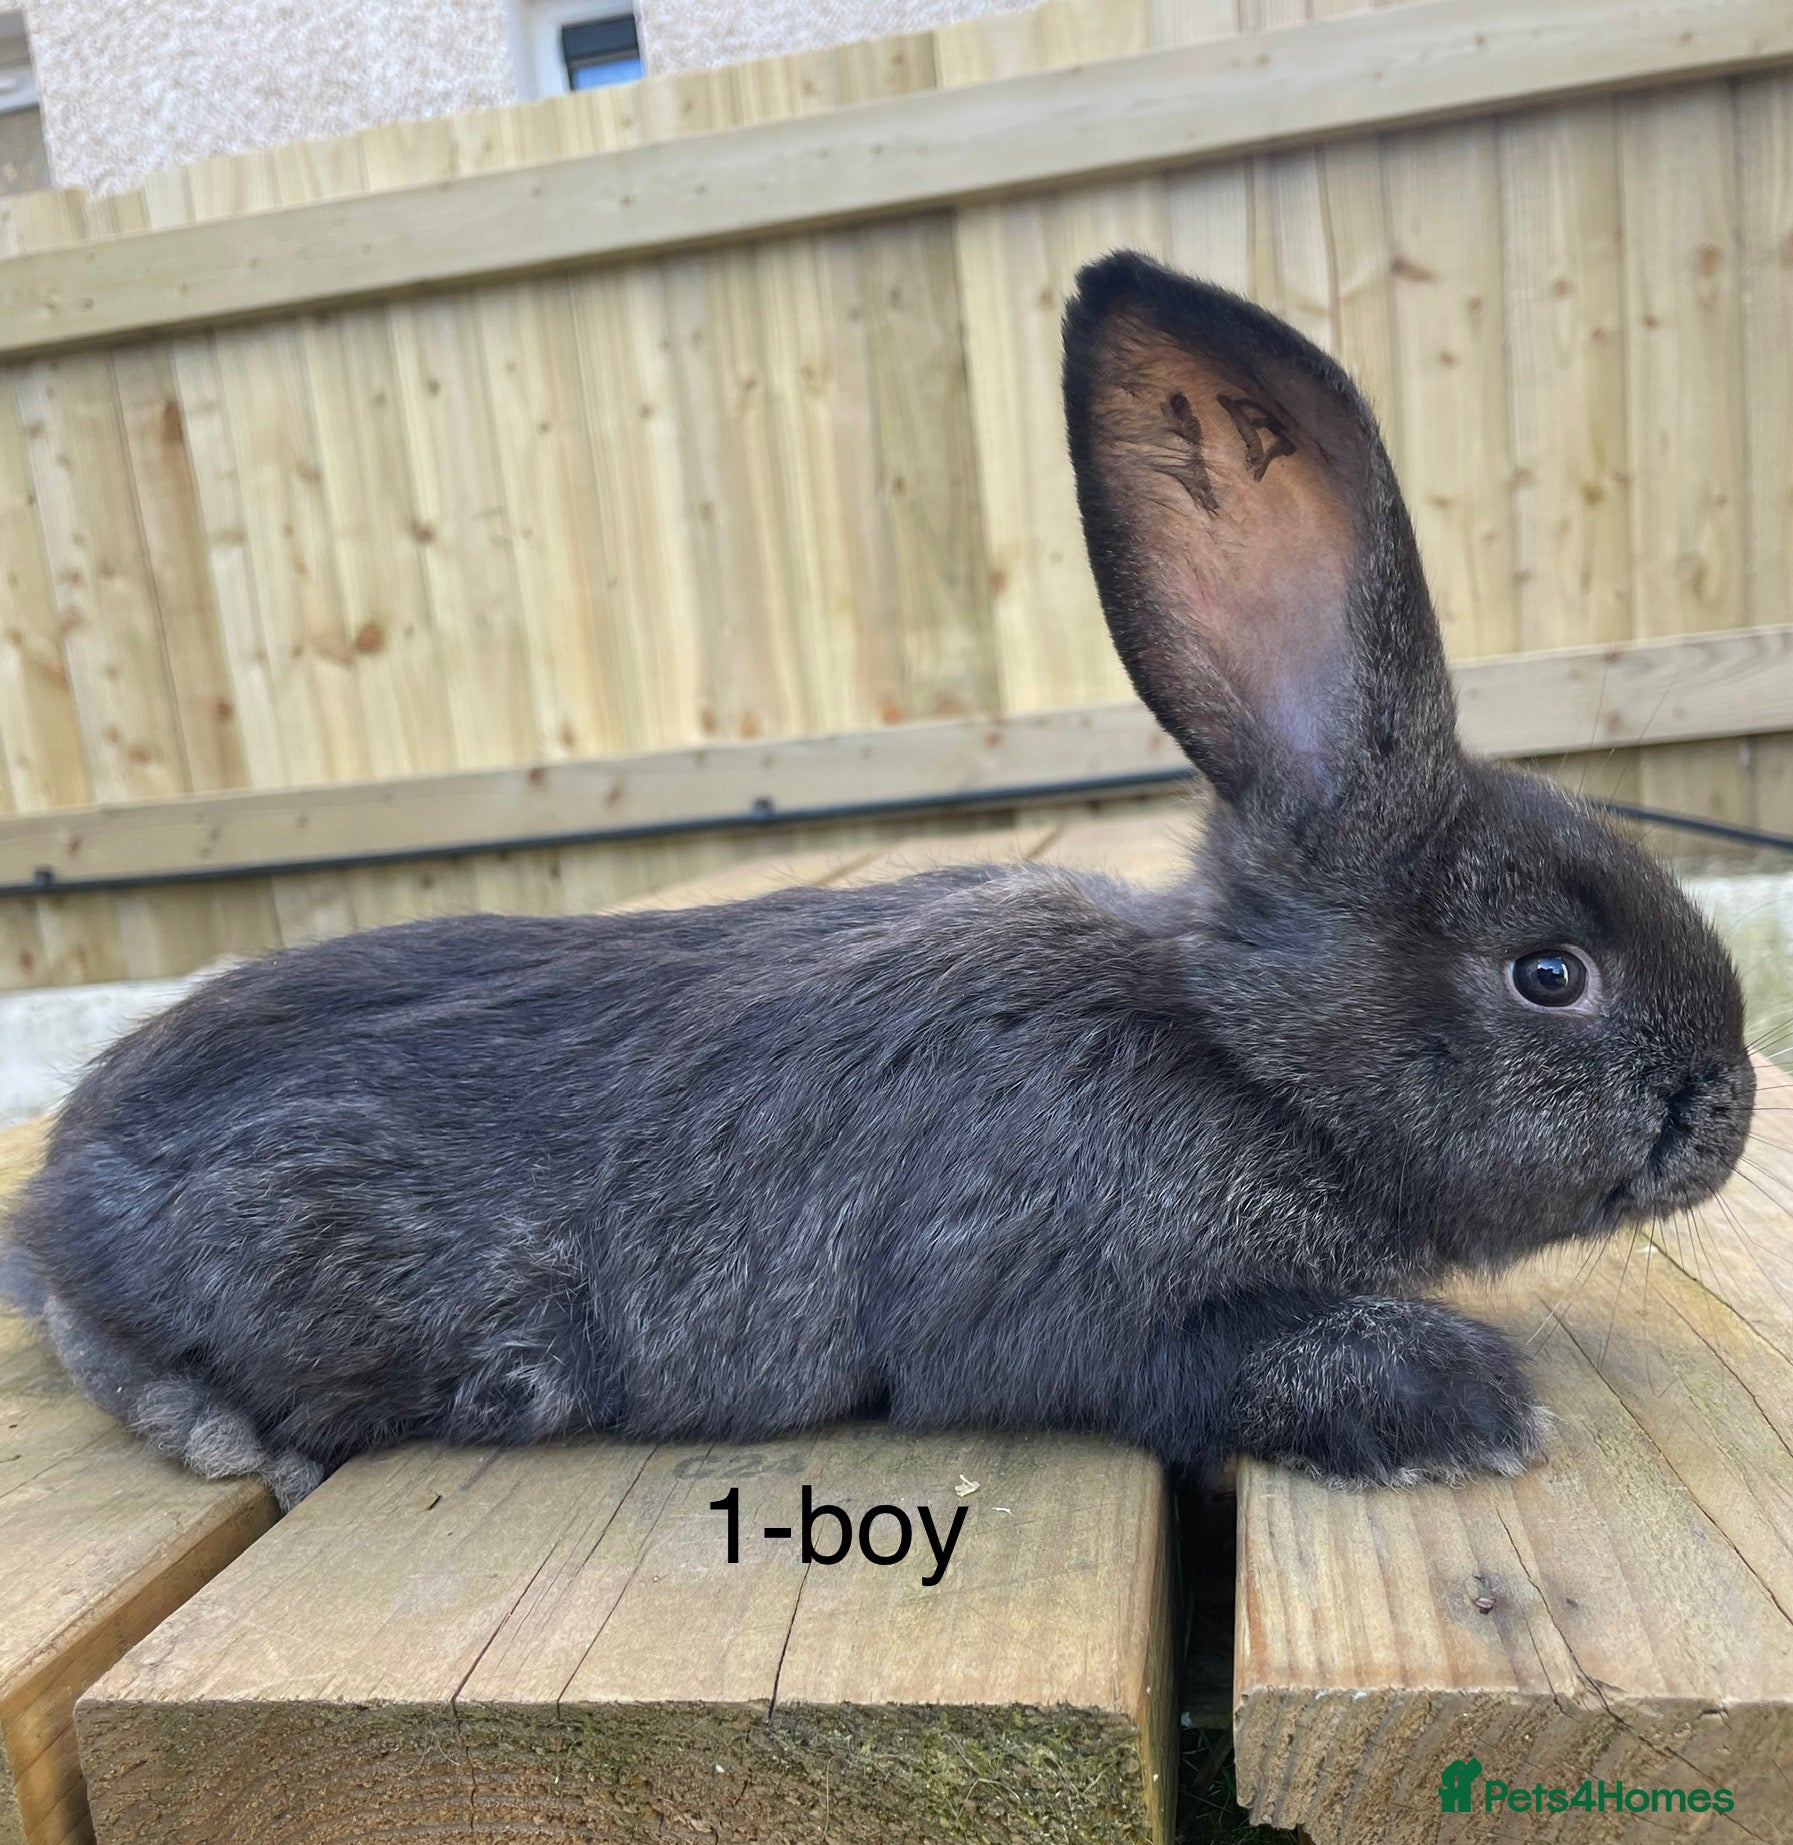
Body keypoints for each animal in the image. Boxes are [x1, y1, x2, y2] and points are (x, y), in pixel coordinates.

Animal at [5, 251, 1753, 1511]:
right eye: (1550, 973)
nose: (1729, 1108)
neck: (1245, 1056)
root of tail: (59, 1188)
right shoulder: (1071, 1306)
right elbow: (1212, 1364)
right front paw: (1464, 1406)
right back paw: (227, 1436)